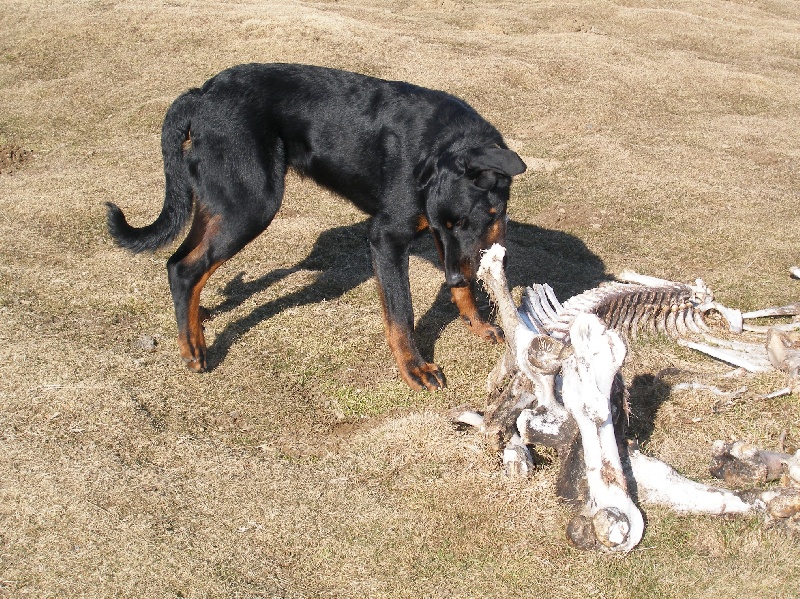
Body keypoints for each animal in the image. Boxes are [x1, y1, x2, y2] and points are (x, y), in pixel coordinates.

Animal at [109, 65, 528, 392]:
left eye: (463, 222)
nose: (454, 276)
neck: (448, 142)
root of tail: (201, 94)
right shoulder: (388, 238)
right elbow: (401, 313)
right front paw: (415, 369)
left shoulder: (446, 241)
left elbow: (465, 285)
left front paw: (477, 324)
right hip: (251, 205)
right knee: (185, 268)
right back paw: (194, 350)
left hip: (220, 204)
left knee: (180, 263)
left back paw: (199, 318)